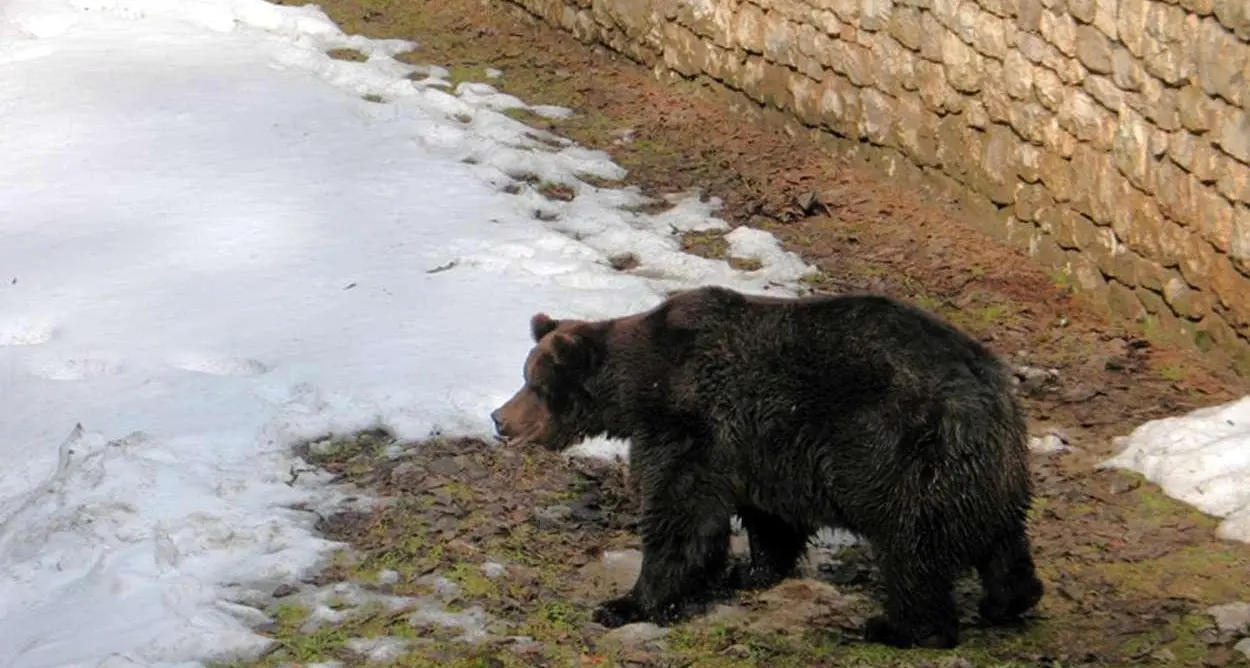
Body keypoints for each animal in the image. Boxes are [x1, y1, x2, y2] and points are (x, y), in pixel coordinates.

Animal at [491, 285, 1044, 649]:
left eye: (535, 383)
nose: (499, 418)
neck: (640, 389)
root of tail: (990, 387)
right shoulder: (761, 448)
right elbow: (770, 519)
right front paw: (749, 571)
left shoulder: (690, 423)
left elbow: (679, 516)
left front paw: (626, 603)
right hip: (985, 471)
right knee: (1001, 537)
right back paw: (1010, 599)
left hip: (902, 454)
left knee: (913, 547)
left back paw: (897, 627)